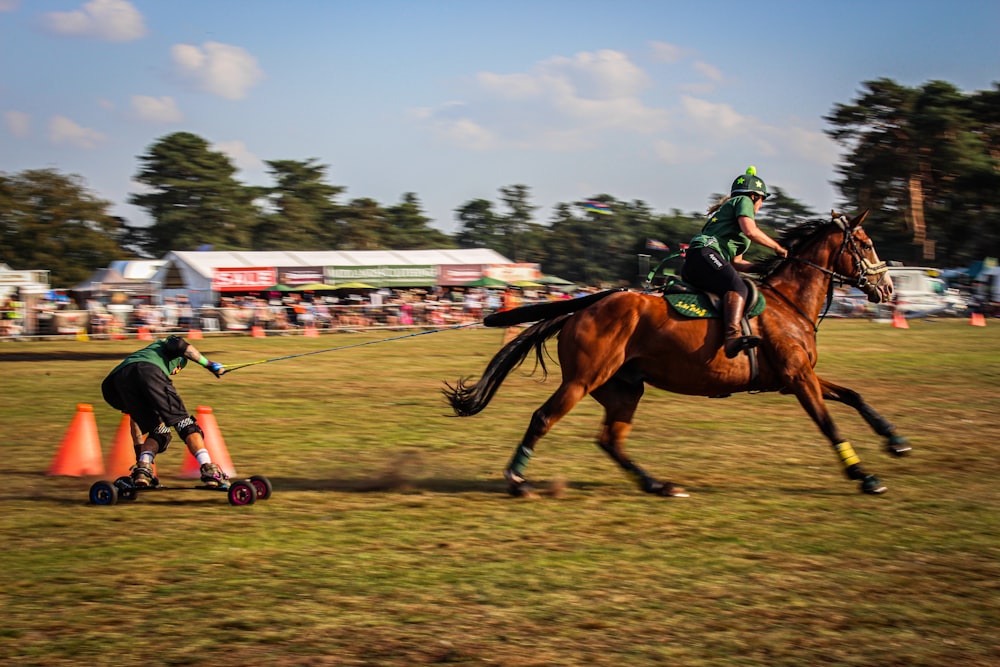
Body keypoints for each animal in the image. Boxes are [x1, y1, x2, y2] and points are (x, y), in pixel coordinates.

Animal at [442, 211, 912, 498]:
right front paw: (864, 476)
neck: (789, 302)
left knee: (611, 439)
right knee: (543, 418)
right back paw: (517, 479)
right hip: (582, 379)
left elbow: (853, 396)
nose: (888, 289)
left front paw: (896, 441)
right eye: (865, 244)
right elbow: (829, 423)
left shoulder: (795, 376)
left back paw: (658, 485)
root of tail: (585, 305)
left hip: (624, 388)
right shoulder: (797, 378)